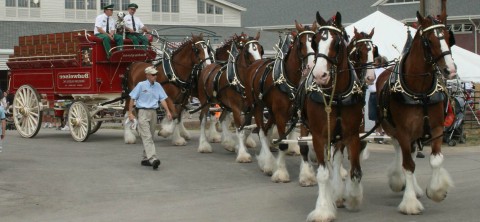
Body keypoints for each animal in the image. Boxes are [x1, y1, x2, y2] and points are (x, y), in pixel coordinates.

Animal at [195, 32, 264, 162]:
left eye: (261, 50)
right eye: (247, 52)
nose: (259, 67)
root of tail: (207, 67)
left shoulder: (250, 108)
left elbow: (246, 128)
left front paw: (239, 147)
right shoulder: (236, 108)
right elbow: (240, 129)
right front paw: (242, 154)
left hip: (225, 105)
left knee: (222, 118)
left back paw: (228, 143)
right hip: (206, 102)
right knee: (202, 120)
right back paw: (203, 145)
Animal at [246, 20, 316, 181]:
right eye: (301, 43)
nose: (311, 66)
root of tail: (255, 64)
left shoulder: (300, 116)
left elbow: (304, 145)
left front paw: (306, 175)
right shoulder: (281, 115)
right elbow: (283, 144)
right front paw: (281, 173)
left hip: (271, 112)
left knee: (266, 130)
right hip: (258, 106)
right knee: (261, 131)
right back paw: (267, 163)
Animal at [298, 12, 366, 222]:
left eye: (337, 43)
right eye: (315, 42)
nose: (320, 75)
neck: (335, 96)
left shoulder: (352, 134)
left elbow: (355, 171)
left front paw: (353, 198)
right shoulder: (319, 136)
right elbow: (322, 174)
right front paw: (323, 209)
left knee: (335, 161)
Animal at [376, 4, 458, 215]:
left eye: (449, 37)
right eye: (429, 41)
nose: (451, 70)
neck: (420, 92)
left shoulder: (437, 128)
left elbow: (435, 160)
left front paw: (436, 191)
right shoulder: (404, 131)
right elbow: (408, 165)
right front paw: (410, 203)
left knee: (411, 152)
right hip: (392, 128)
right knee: (400, 151)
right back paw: (399, 181)